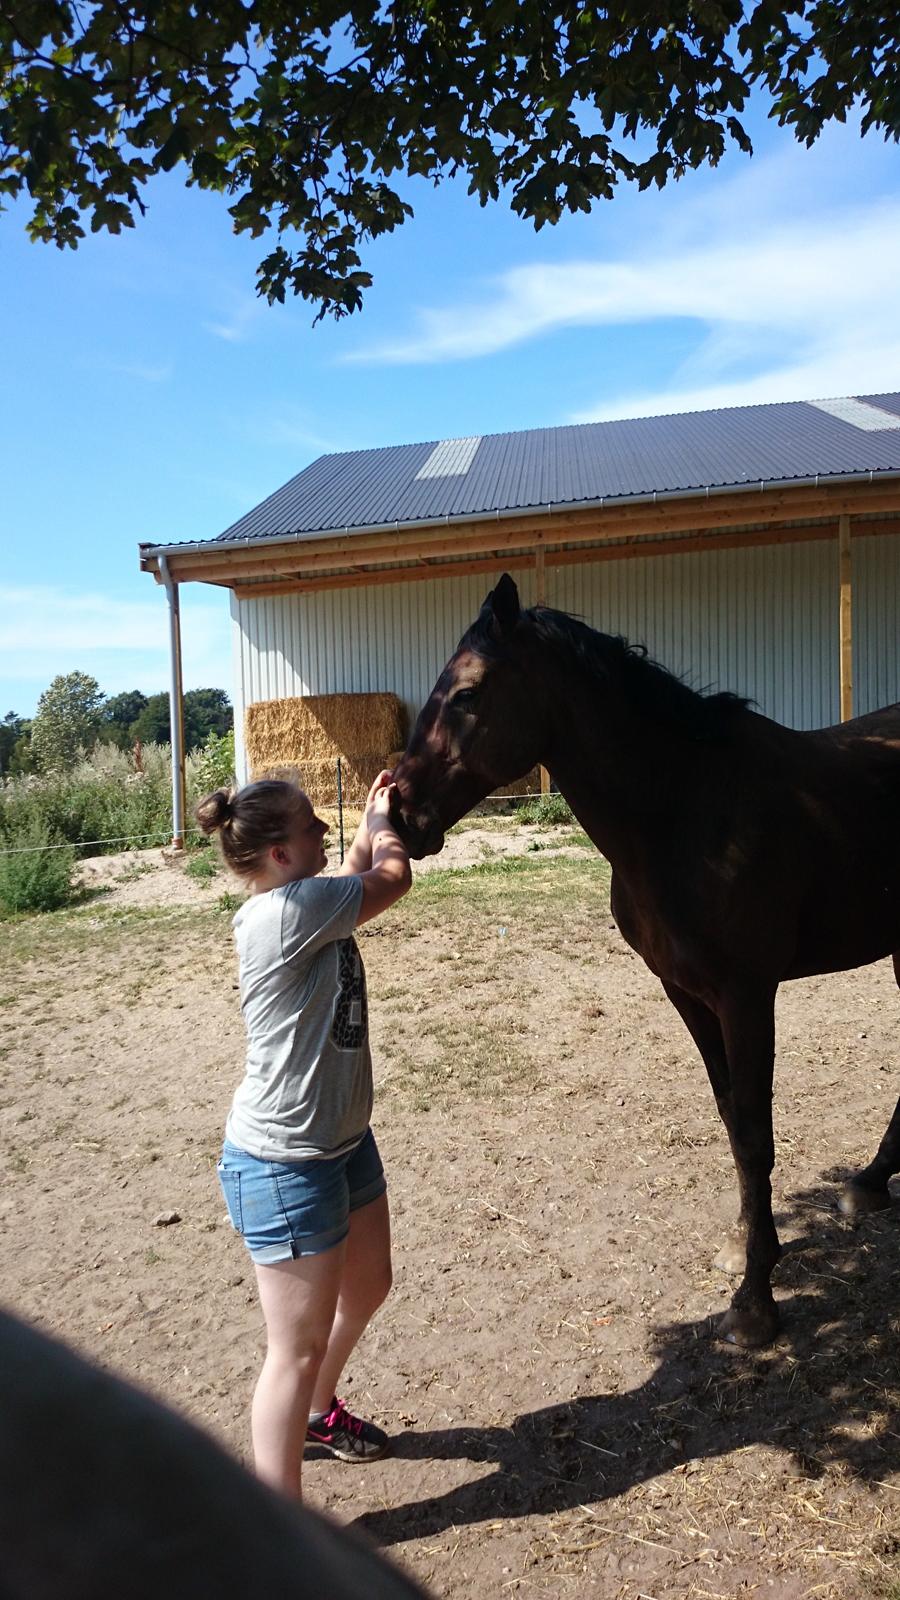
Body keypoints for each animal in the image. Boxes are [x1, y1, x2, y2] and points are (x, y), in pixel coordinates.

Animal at [390, 576, 896, 1350]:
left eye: (467, 694)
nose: (400, 814)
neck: (685, 810)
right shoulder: (687, 994)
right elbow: (732, 1121)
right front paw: (746, 1244)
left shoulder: (747, 995)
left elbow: (756, 1133)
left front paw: (756, 1304)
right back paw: (869, 1183)